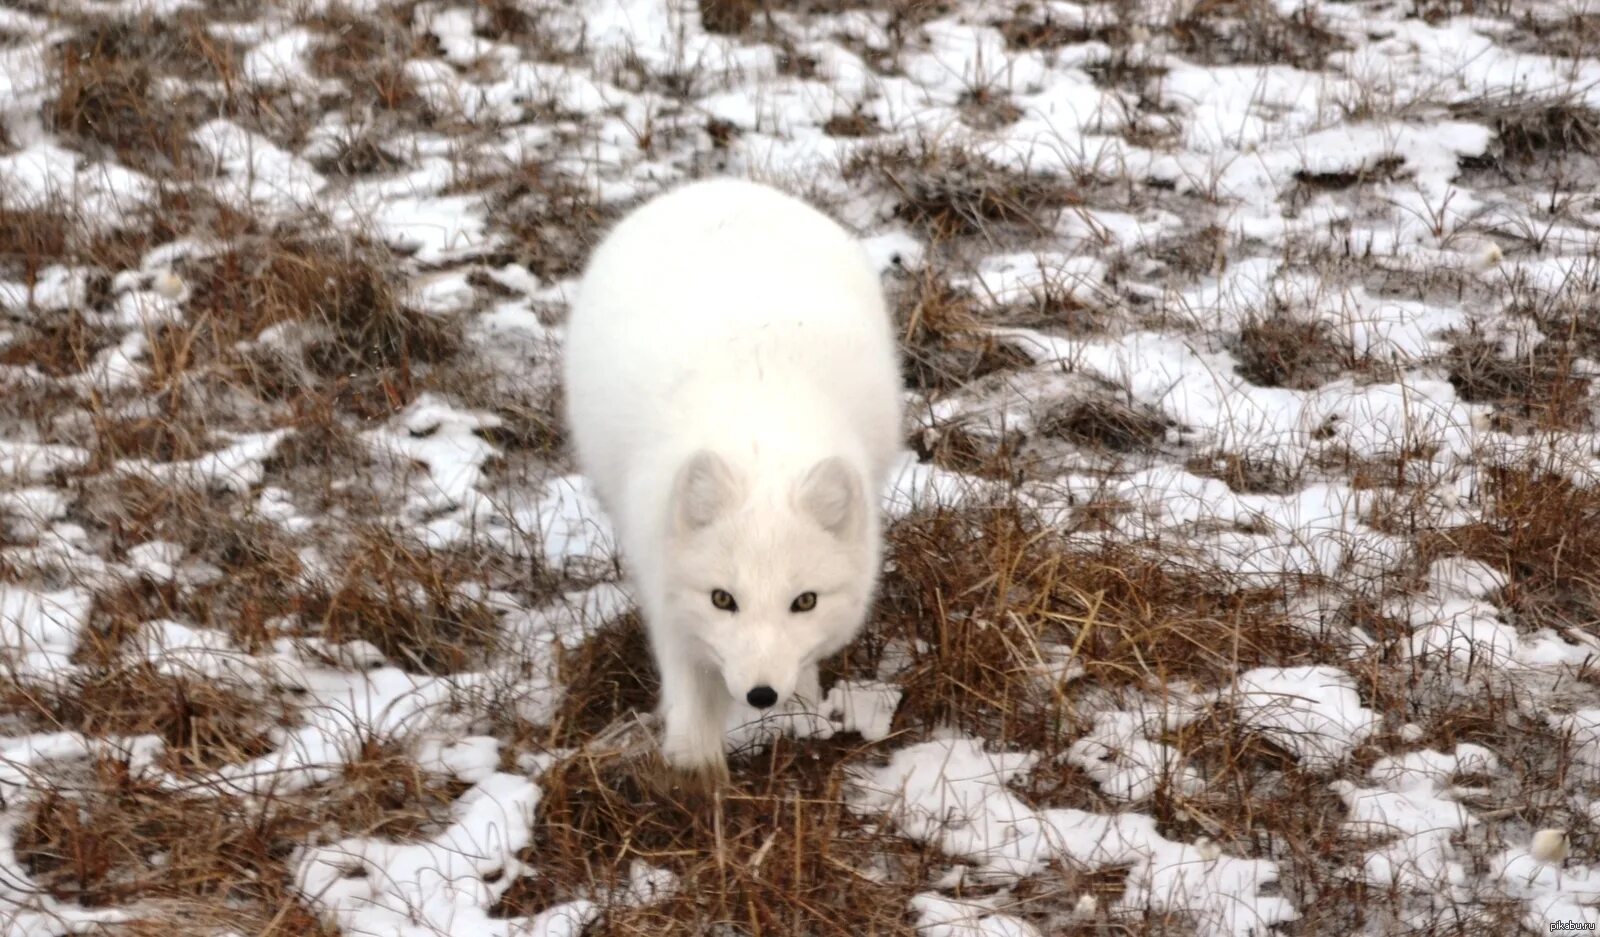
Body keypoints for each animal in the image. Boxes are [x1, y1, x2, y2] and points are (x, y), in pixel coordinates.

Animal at [566, 175, 908, 773]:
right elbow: (689, 687)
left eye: (805, 601)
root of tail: (718, 183)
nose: (761, 695)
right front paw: (694, 772)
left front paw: (799, 719)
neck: (759, 435)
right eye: (723, 599)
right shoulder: (665, 587)